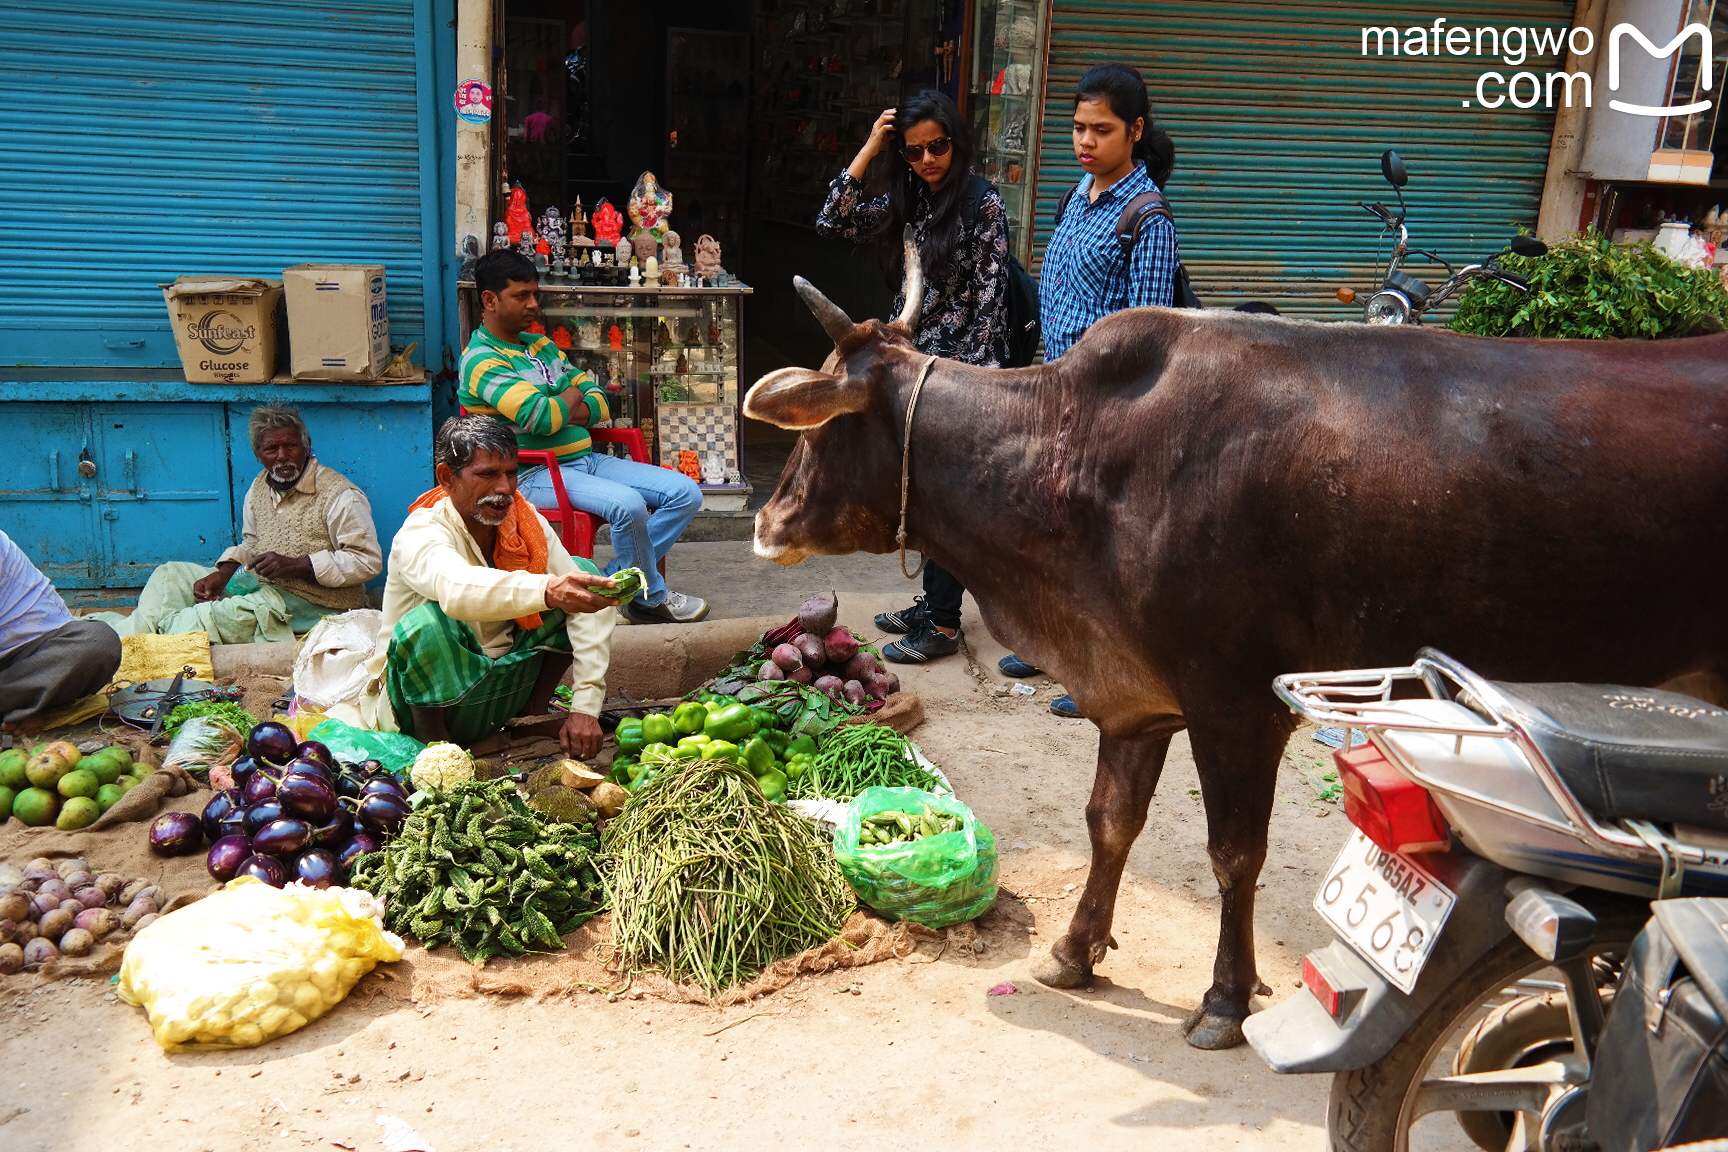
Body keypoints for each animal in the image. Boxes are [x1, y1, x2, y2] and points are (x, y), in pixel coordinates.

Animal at [749, 252, 1728, 1043]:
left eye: (816, 422)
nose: (765, 523)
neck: (1078, 455)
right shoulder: (1136, 698)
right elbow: (1110, 821)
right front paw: (1076, 950)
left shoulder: (1237, 705)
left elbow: (1233, 854)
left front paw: (1225, 998)